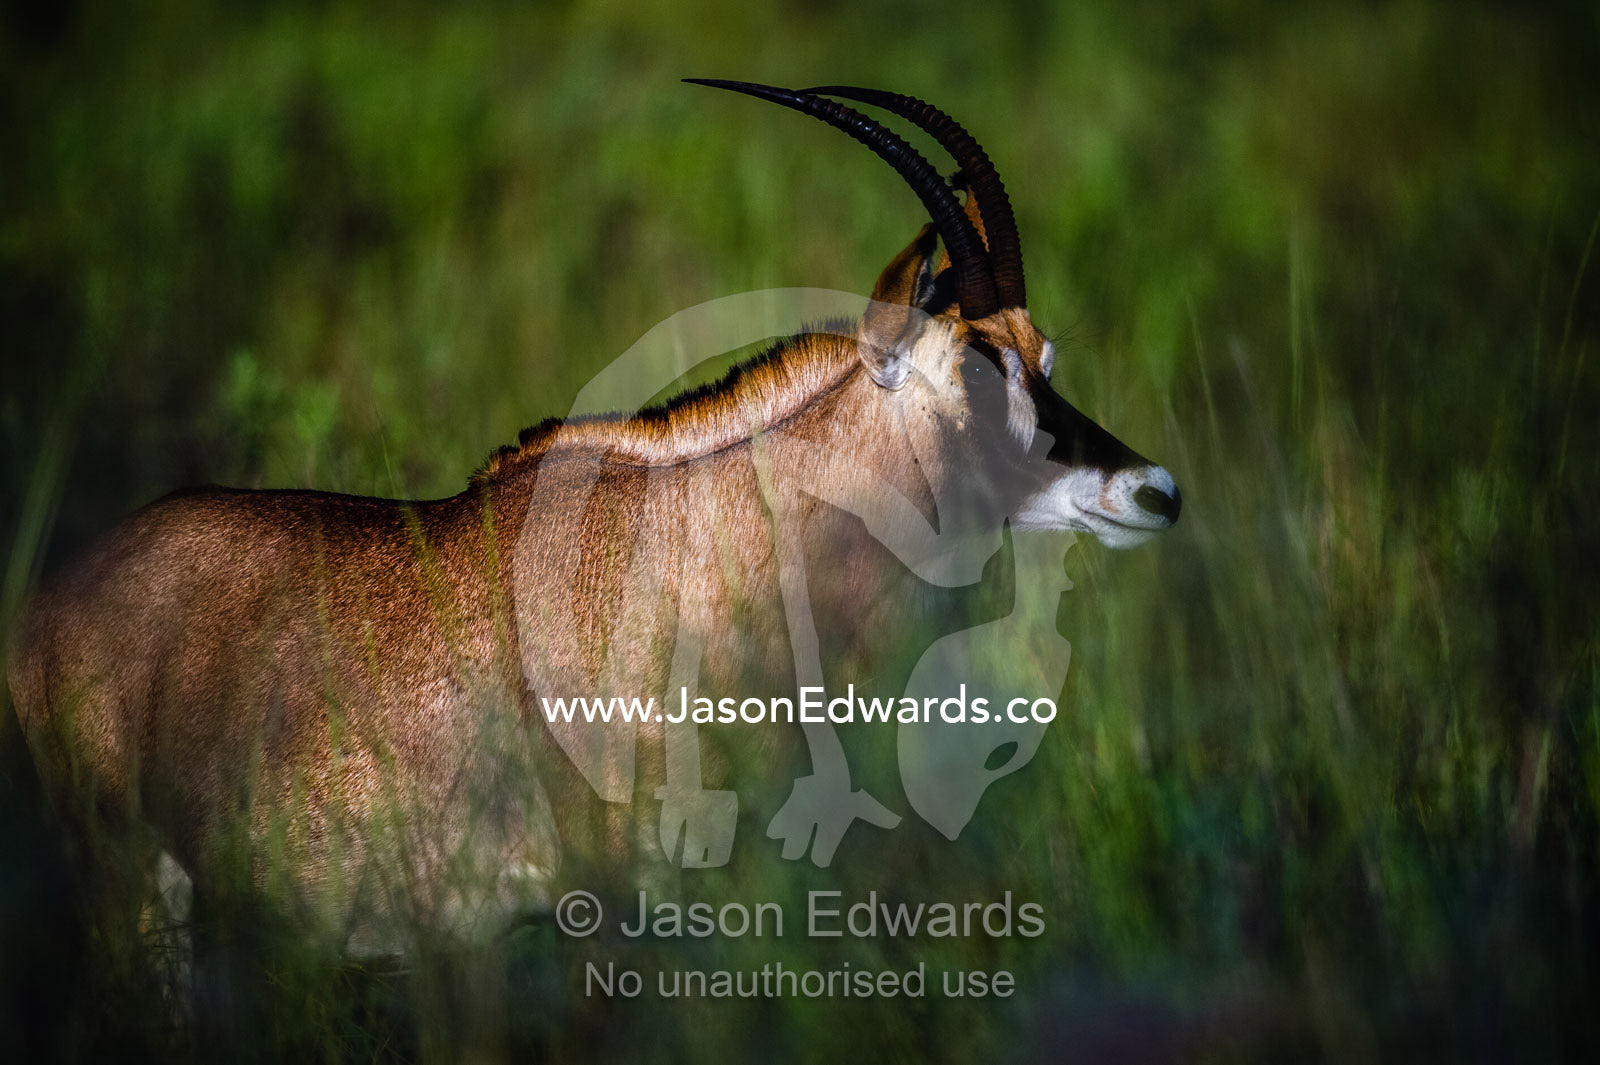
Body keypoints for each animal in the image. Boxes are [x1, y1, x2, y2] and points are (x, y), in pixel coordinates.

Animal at [6, 82, 1180, 944]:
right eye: (978, 367)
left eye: (1044, 356)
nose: (1153, 492)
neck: (711, 548)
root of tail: (45, 610)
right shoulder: (618, 891)